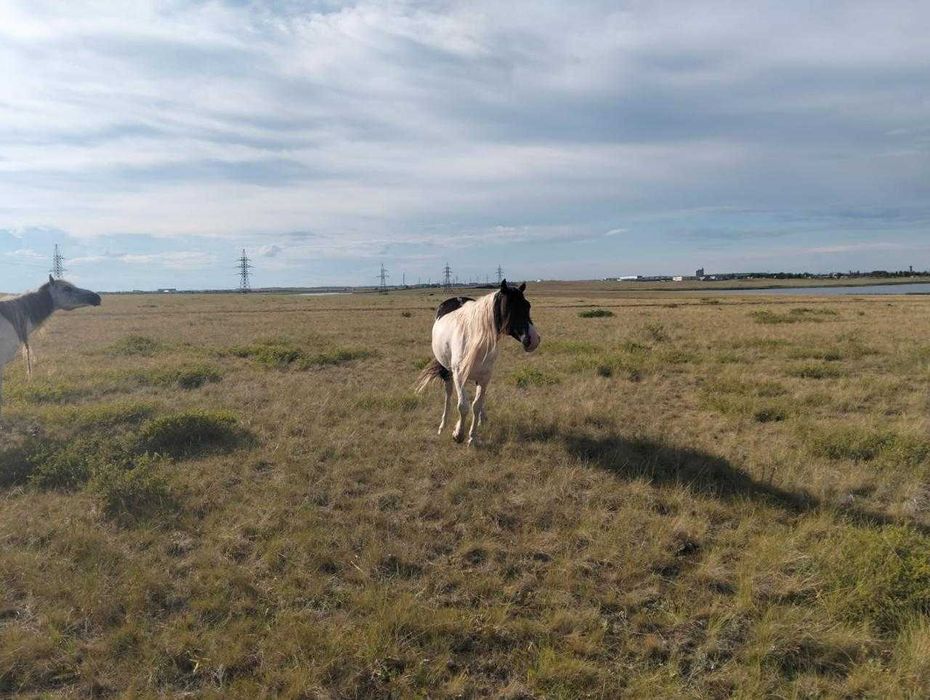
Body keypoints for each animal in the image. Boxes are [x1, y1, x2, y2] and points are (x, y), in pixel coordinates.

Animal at [416, 279, 541, 445]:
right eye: (510, 307)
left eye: (527, 306)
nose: (533, 340)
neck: (474, 337)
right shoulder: (459, 376)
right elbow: (463, 406)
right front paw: (458, 434)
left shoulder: (485, 377)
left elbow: (476, 404)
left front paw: (472, 437)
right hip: (447, 371)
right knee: (448, 395)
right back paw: (443, 425)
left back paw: (482, 419)